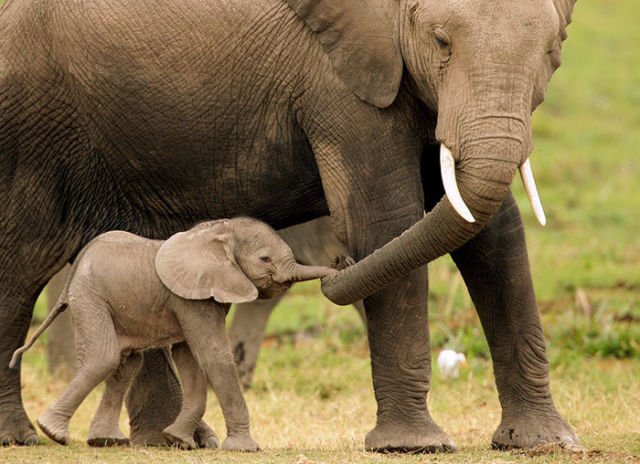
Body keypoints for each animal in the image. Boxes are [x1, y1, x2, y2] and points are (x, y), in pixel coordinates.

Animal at [10, 218, 336, 450]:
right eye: (266, 259)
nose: (337, 265)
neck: (219, 231)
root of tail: (78, 262)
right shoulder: (191, 298)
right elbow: (213, 356)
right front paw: (245, 448)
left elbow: (189, 358)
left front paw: (177, 440)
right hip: (90, 296)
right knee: (104, 357)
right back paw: (53, 432)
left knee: (127, 364)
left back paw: (106, 441)